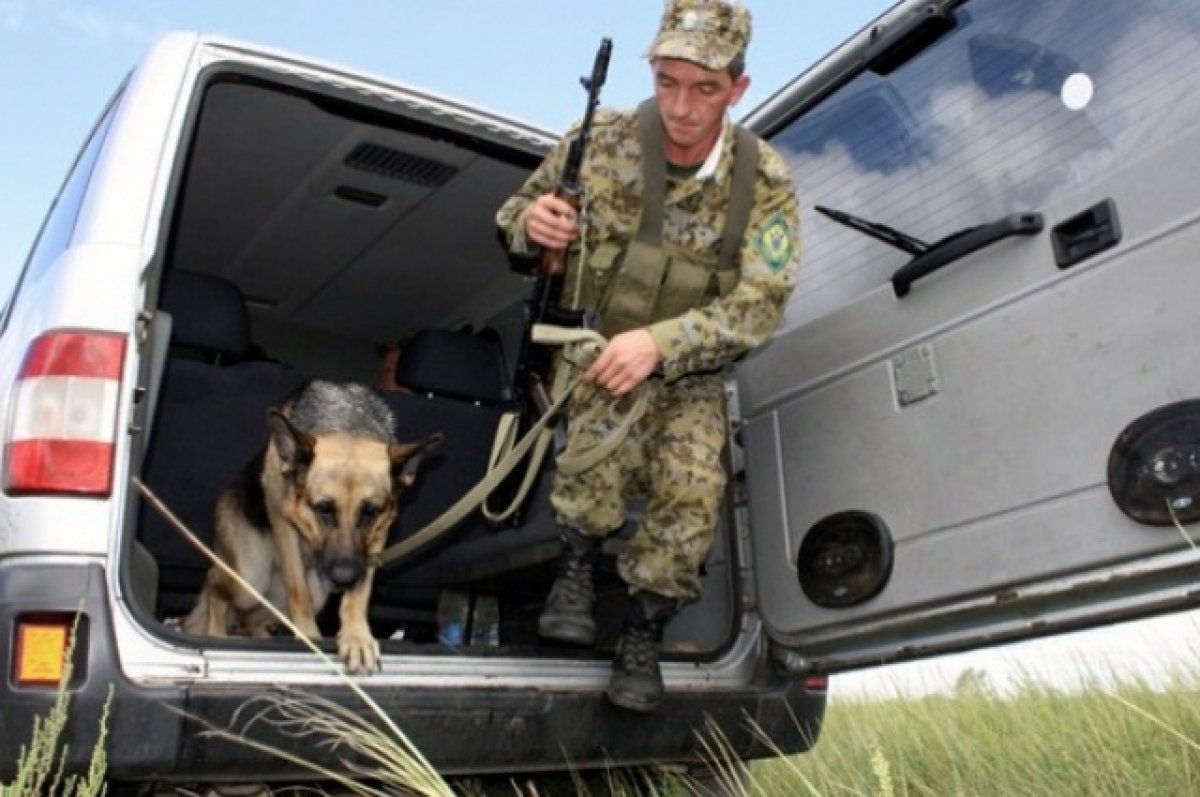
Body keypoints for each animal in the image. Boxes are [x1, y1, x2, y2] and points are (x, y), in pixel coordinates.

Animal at [184, 379, 448, 672]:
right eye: (324, 509)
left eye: (370, 512)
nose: (344, 579)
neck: (347, 423)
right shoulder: (283, 524)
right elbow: (299, 593)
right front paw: (310, 636)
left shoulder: (376, 539)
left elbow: (359, 594)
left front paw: (357, 637)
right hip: (249, 579)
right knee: (215, 588)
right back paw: (217, 634)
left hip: (311, 590)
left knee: (253, 618)